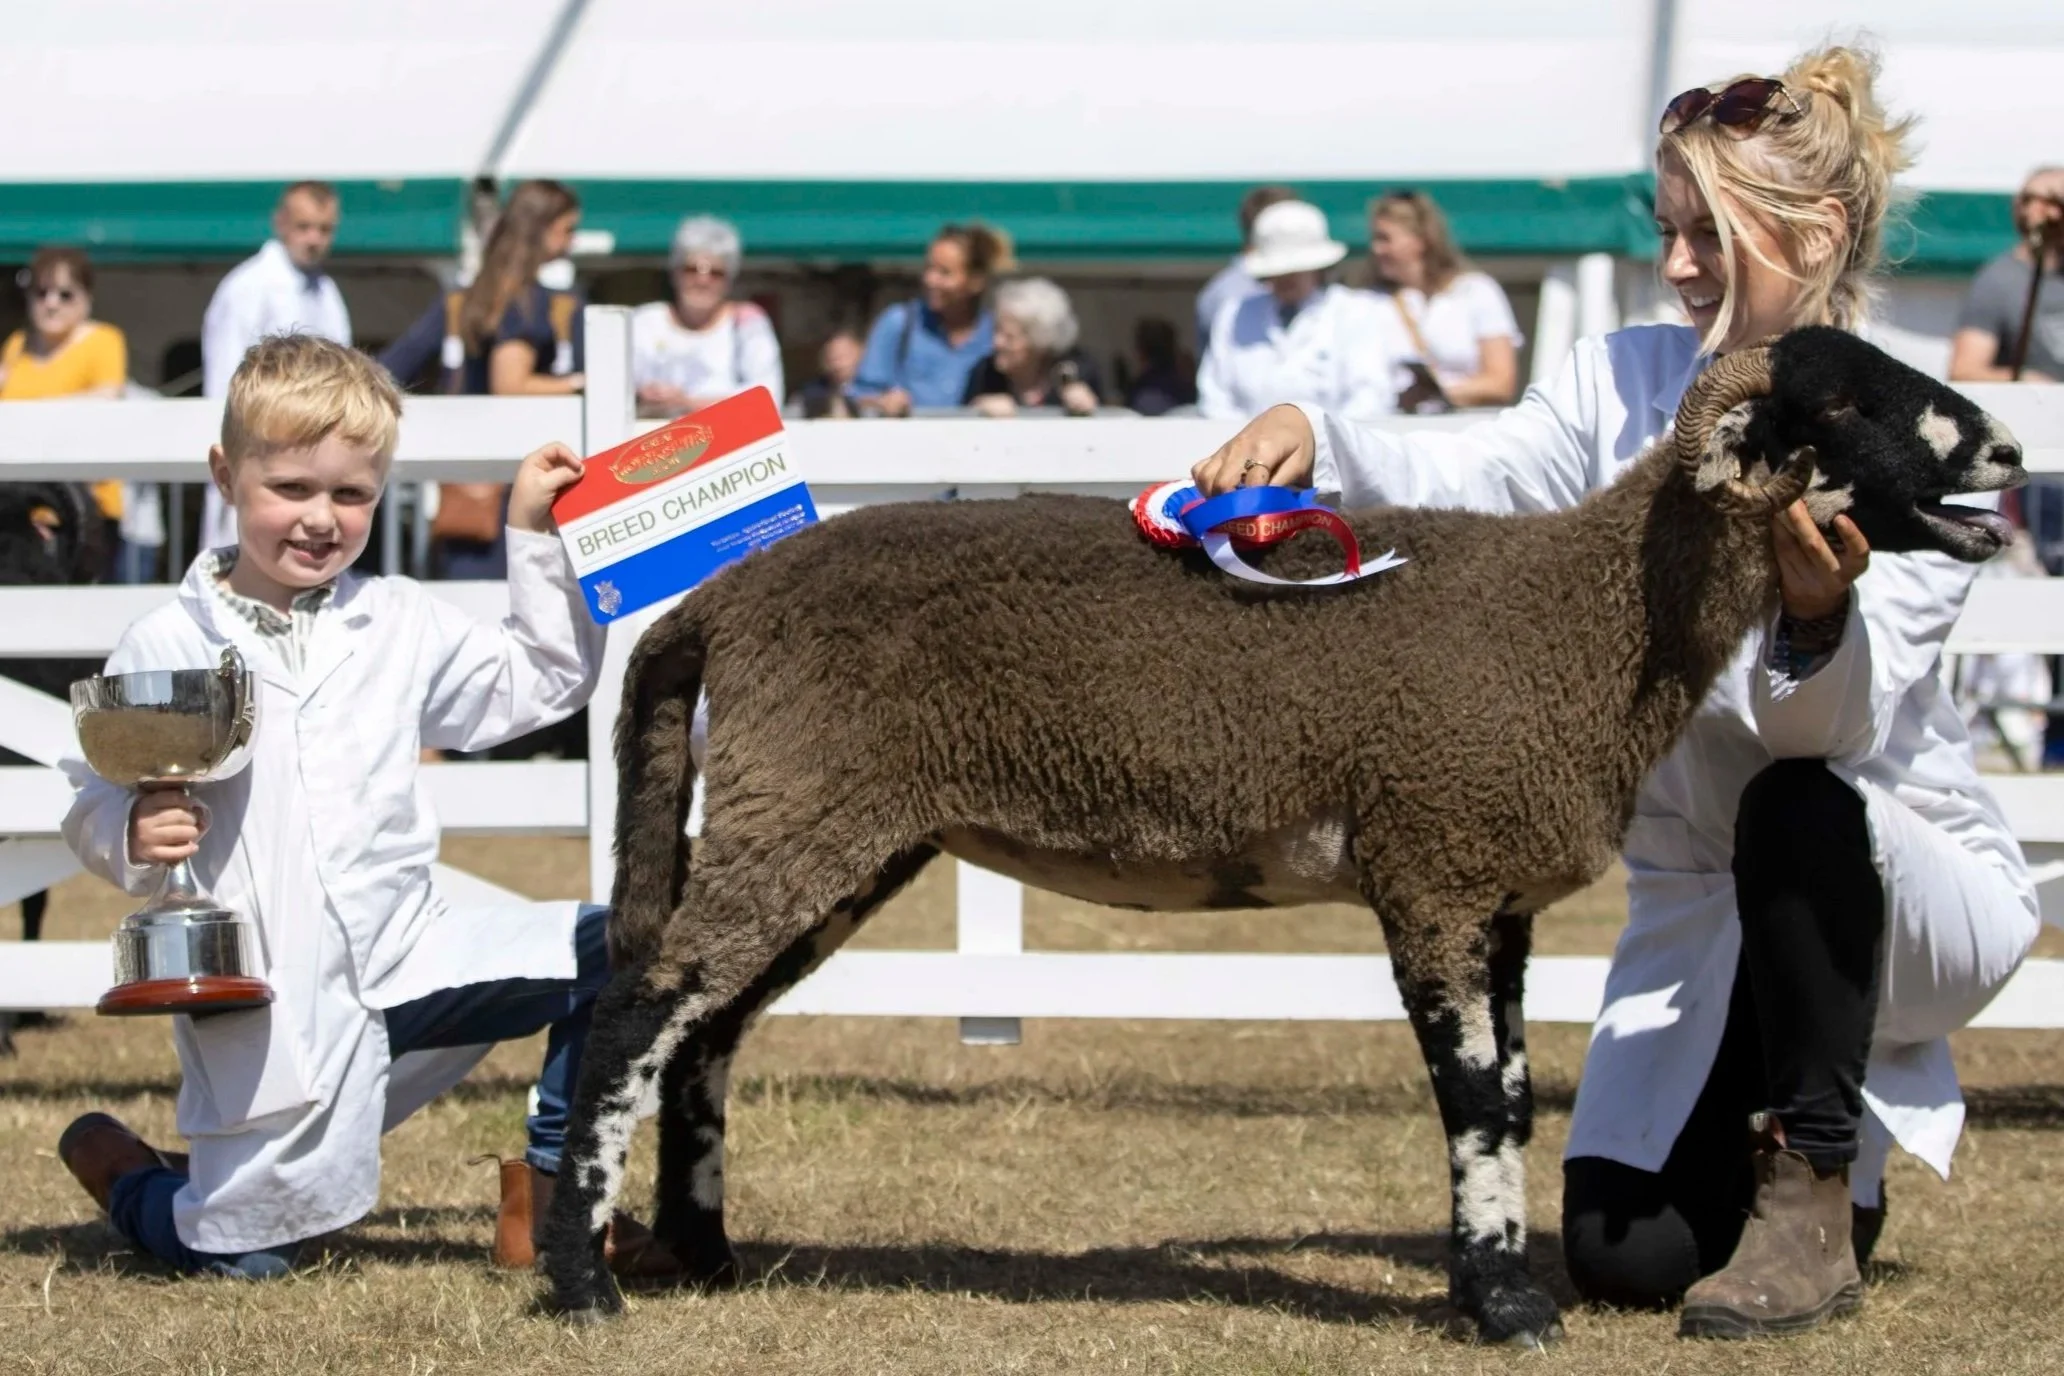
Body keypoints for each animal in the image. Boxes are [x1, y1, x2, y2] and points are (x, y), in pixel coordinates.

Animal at [539, 326, 2025, 1343]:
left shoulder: (1494, 889)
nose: (2009, 452)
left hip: (835, 821)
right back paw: (580, 1285)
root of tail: (722, 598)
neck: (1586, 619)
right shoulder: (1430, 857)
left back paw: (707, 1254)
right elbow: (1475, 1097)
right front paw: (1504, 1308)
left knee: (707, 1029)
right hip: (805, 799)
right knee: (637, 1012)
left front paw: (1492, 1281)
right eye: (1845, 401)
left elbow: (1516, 1095)